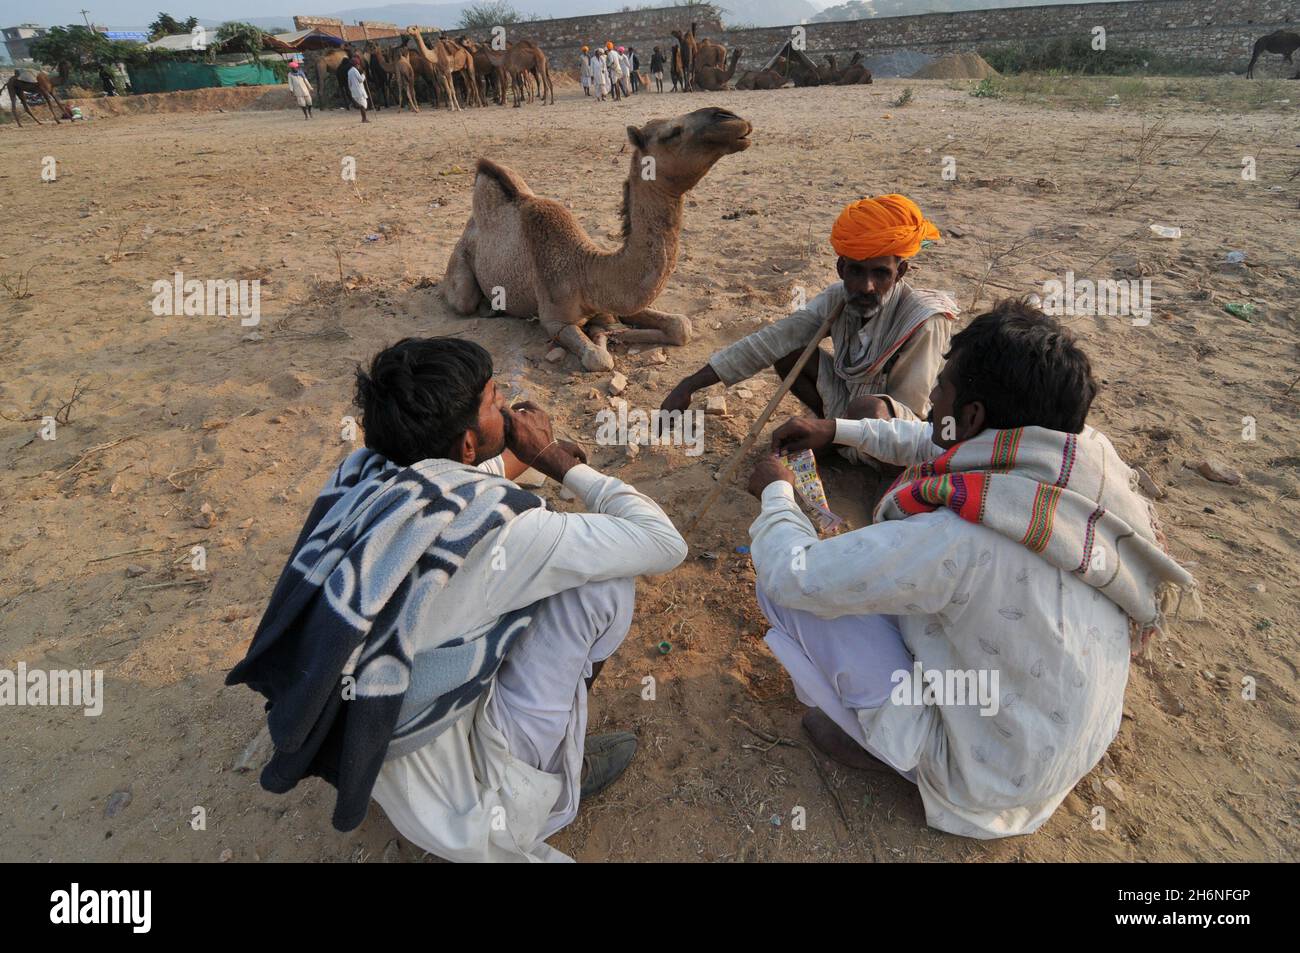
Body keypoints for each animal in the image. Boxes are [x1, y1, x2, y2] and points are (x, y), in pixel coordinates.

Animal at [444, 106, 754, 369]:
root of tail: (469, 226)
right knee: (462, 299)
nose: (730, 117)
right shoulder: (554, 319)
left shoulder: (616, 303)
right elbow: (598, 359)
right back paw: (486, 308)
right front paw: (604, 336)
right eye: (672, 133)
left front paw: (609, 331)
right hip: (460, 264)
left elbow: (681, 325)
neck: (586, 269)